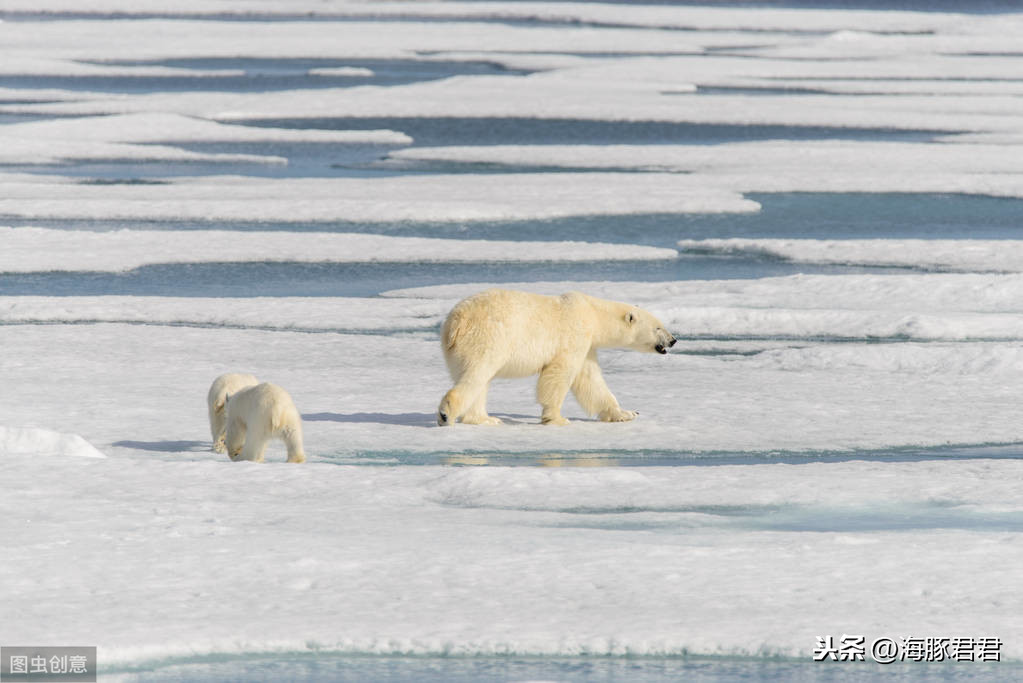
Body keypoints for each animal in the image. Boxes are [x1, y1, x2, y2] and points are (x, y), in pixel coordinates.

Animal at [435, 288, 675, 427]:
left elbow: (590, 380)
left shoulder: (587, 346)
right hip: (488, 338)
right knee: (478, 374)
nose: (673, 340)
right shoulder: (574, 333)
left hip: (458, 349)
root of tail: (456, 322)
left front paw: (626, 413)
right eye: (658, 327)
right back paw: (447, 414)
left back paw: (485, 419)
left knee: (478, 381)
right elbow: (560, 374)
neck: (593, 313)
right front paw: (557, 418)